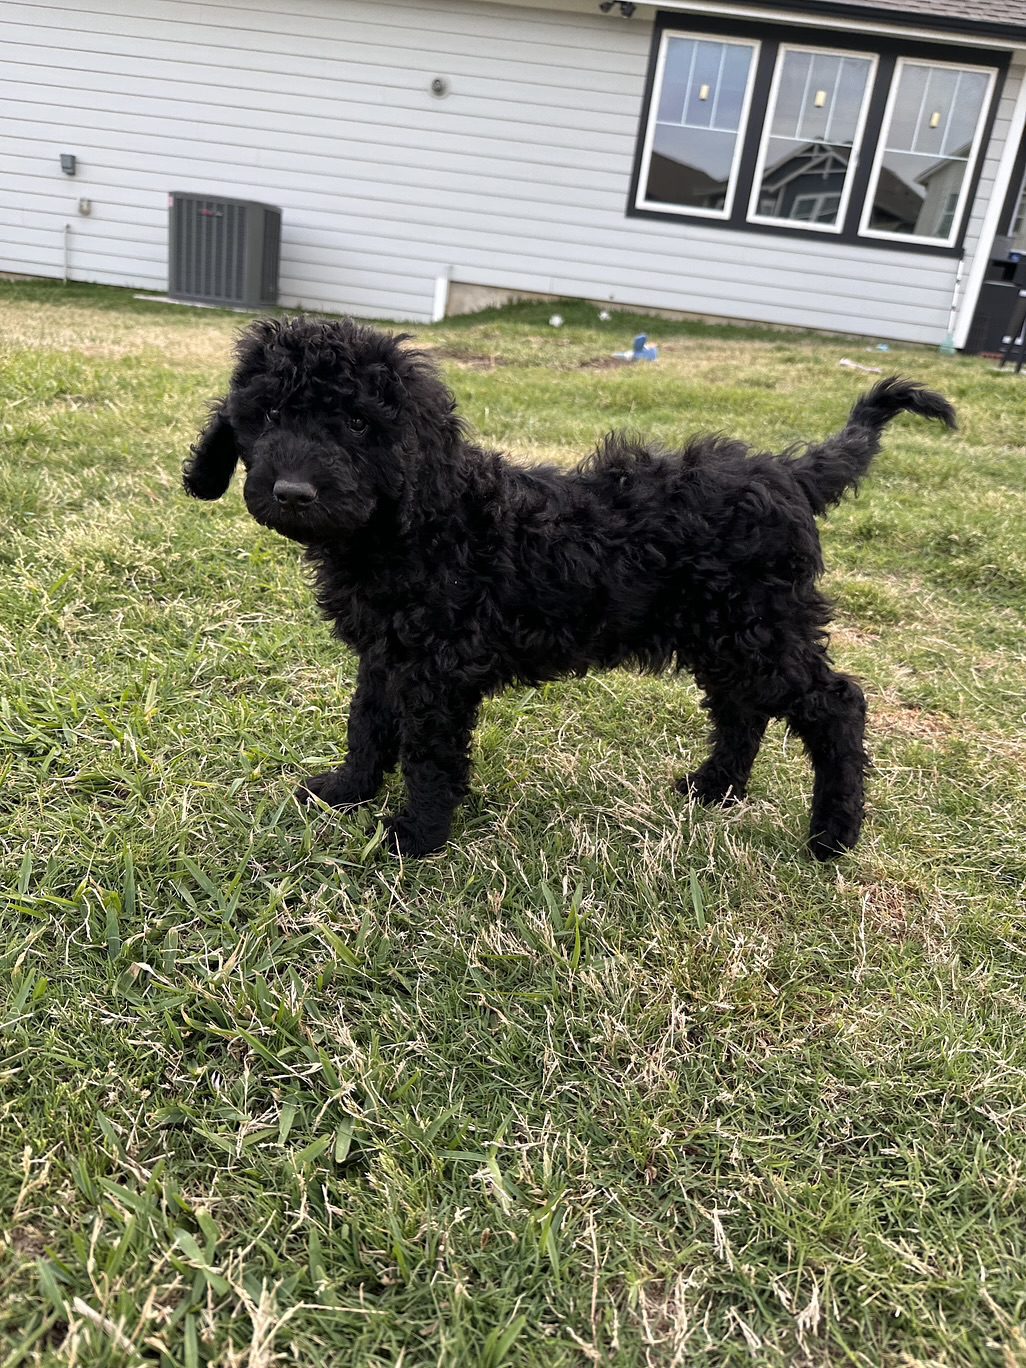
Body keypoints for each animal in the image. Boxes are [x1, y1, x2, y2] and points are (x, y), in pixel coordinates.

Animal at [184, 316, 955, 859]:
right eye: (270, 416)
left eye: (353, 424)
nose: (292, 492)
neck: (420, 520)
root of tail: (789, 473)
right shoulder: (386, 654)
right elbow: (368, 724)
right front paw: (347, 792)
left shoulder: (438, 670)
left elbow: (429, 753)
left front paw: (417, 835)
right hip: (726, 634)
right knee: (742, 709)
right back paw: (715, 790)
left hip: (762, 628)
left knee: (837, 705)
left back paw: (833, 836)